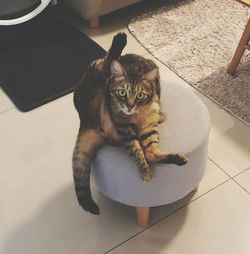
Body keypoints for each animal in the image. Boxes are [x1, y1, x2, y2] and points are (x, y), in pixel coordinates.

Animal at [71, 31, 187, 214]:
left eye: (140, 95)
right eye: (122, 93)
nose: (129, 106)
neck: (138, 116)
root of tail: (86, 122)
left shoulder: (148, 126)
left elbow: (148, 151)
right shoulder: (125, 128)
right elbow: (138, 152)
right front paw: (145, 172)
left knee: (151, 152)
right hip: (91, 86)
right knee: (103, 64)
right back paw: (119, 40)